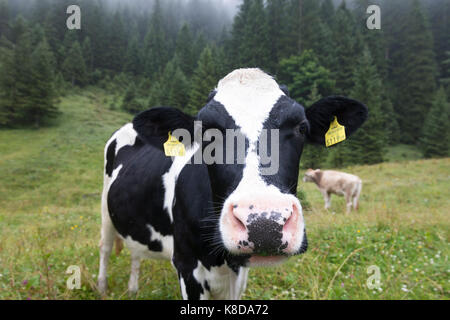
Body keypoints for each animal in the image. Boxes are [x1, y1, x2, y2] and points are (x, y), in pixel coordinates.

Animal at [96, 68, 368, 300]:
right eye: (206, 131)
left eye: (301, 127)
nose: (264, 224)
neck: (220, 258)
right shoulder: (186, 265)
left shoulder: (238, 272)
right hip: (105, 210)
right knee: (105, 248)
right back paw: (102, 288)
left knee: (135, 252)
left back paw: (133, 289)